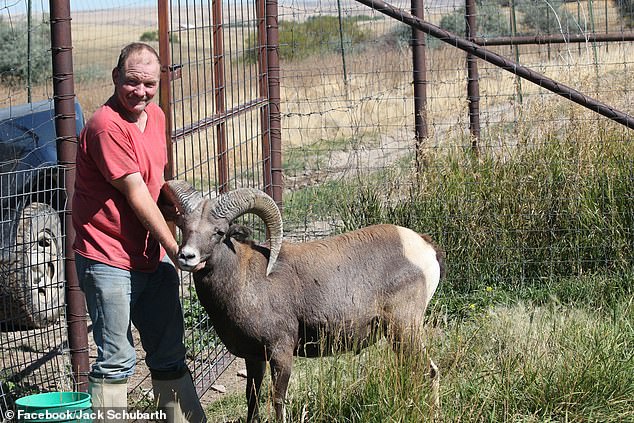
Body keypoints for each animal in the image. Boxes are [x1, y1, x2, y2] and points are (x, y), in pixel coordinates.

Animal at [160, 181, 442, 422]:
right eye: (184, 226)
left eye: (218, 232)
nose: (187, 256)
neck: (245, 280)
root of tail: (424, 247)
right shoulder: (254, 358)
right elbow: (252, 399)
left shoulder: (281, 353)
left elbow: (277, 401)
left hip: (405, 329)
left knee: (428, 371)